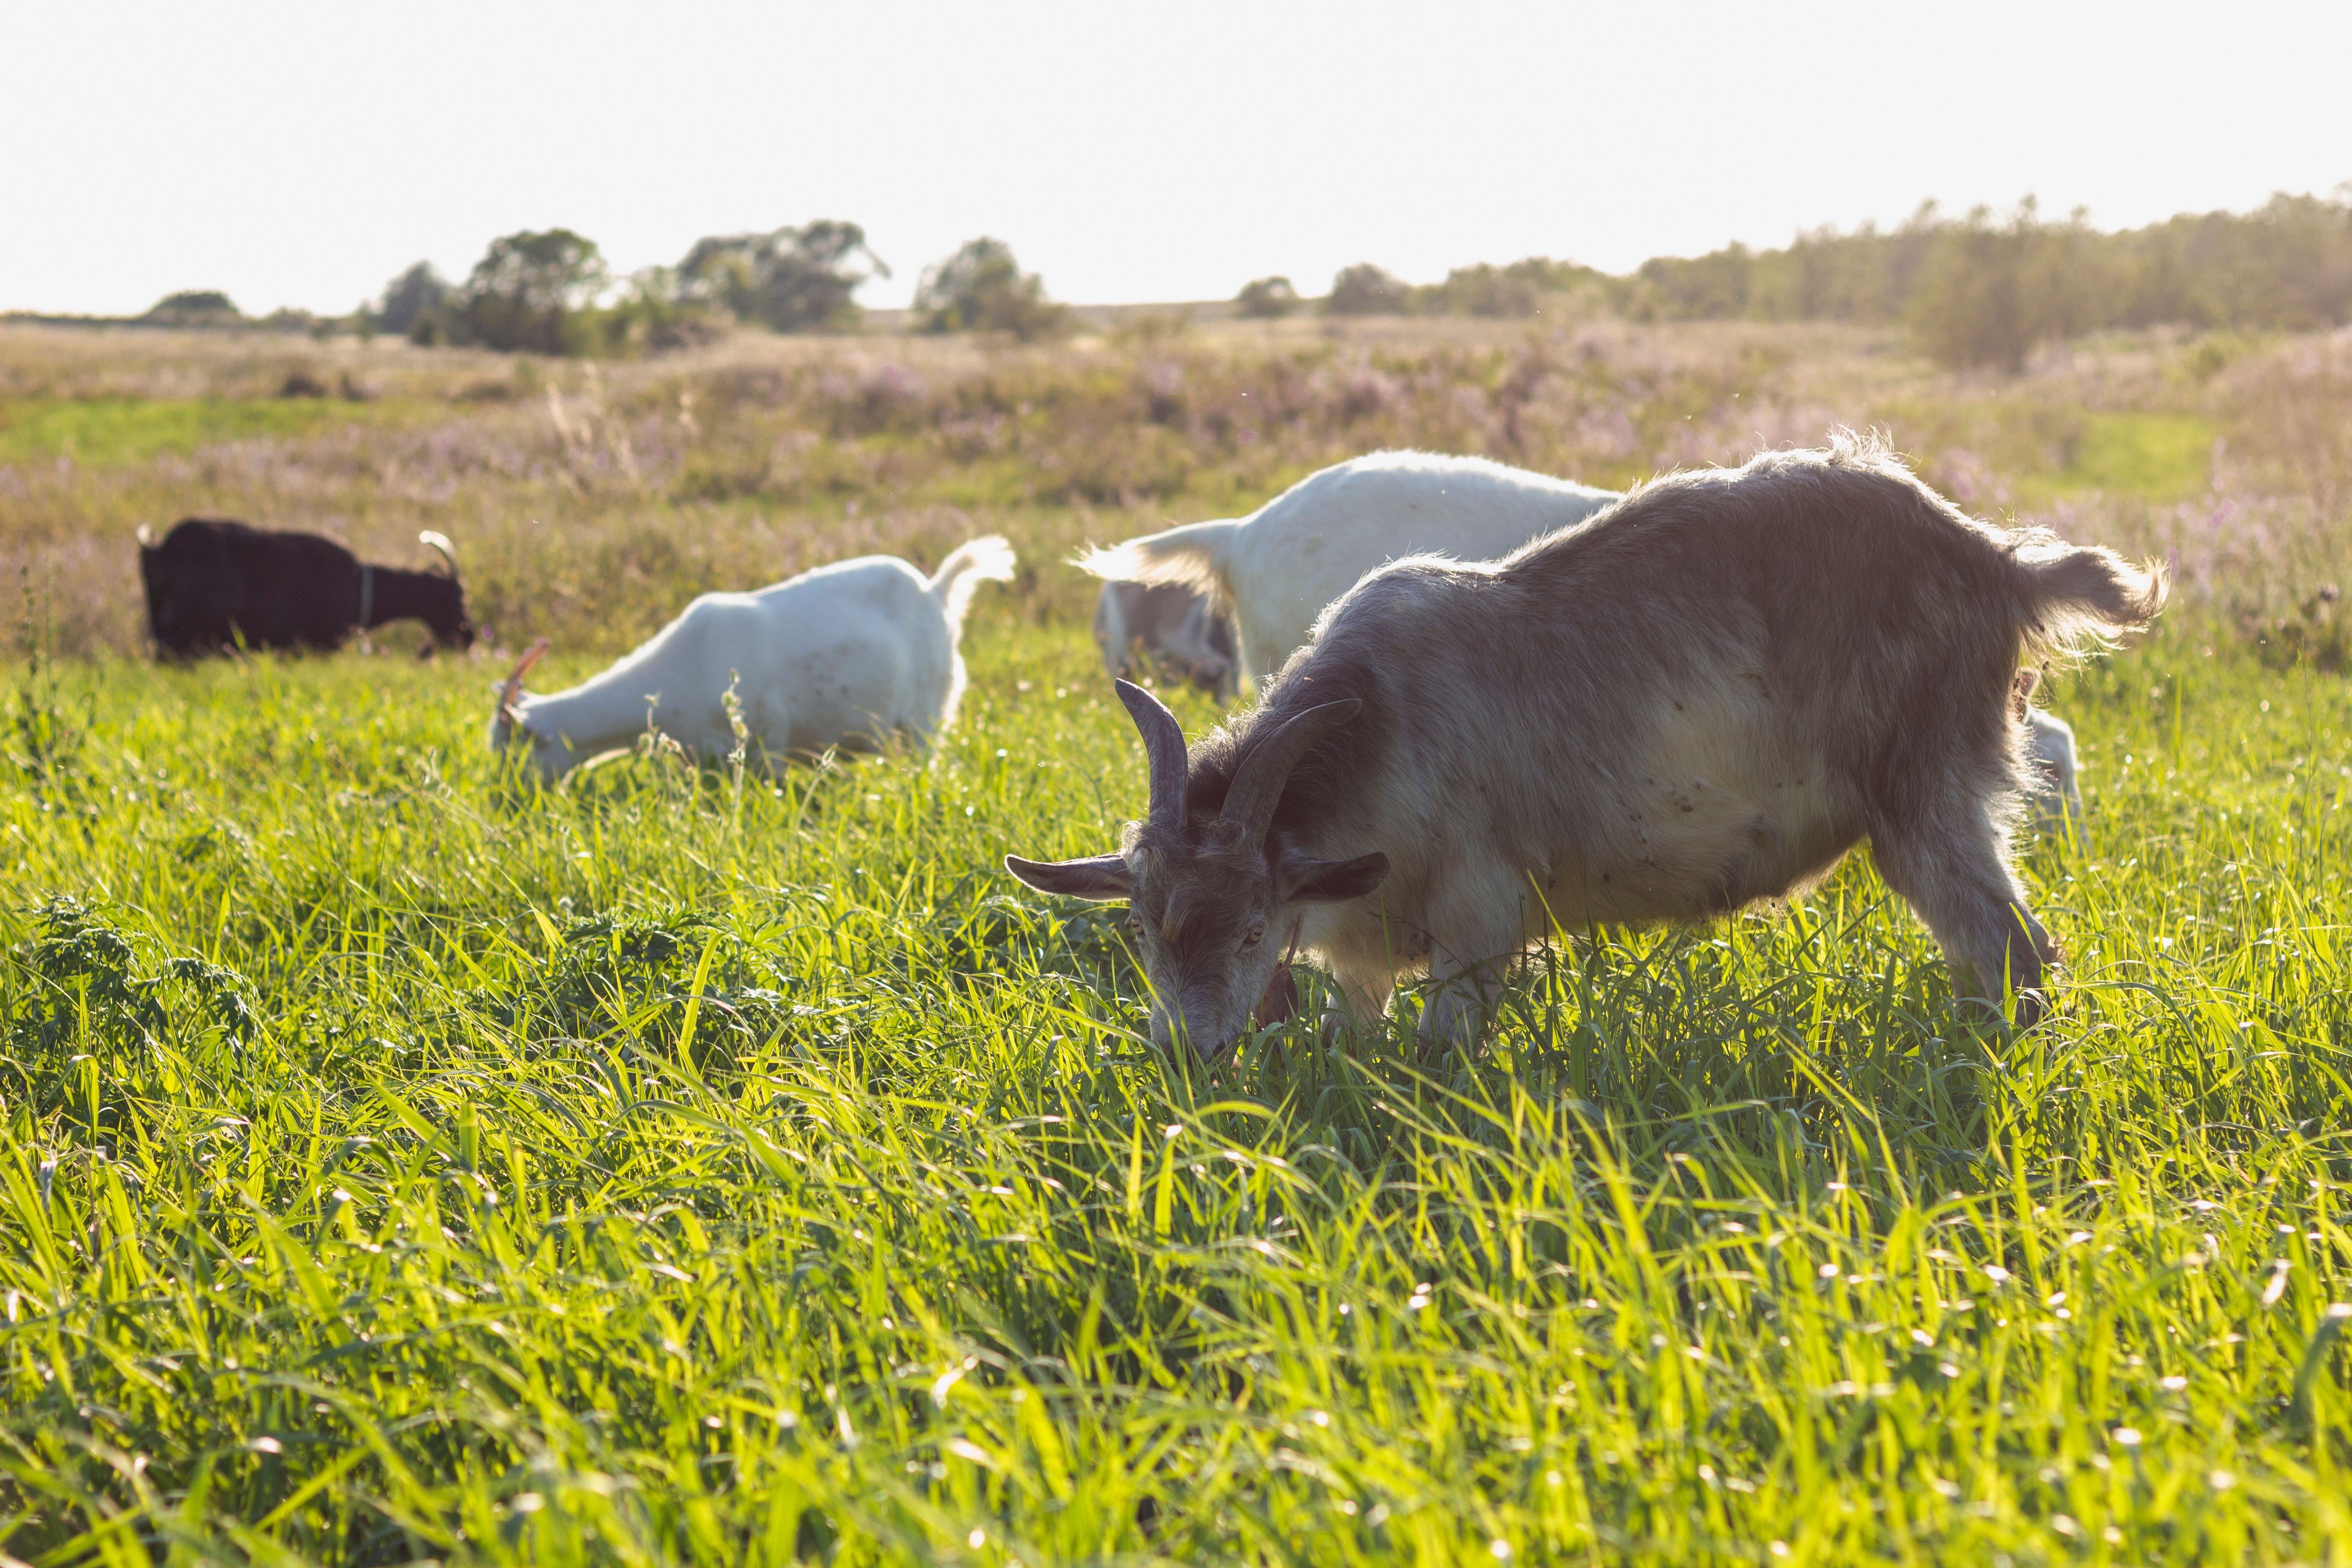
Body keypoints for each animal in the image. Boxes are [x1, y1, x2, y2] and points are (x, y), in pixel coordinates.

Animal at [1002, 439, 2154, 1067]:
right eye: (1143, 929)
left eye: (1247, 931)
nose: (1187, 1055)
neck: (1378, 717)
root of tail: (1999, 561)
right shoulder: (1357, 944)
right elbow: (1353, 1029)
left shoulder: (1478, 910)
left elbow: (1442, 1044)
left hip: (1924, 791)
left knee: (2010, 946)